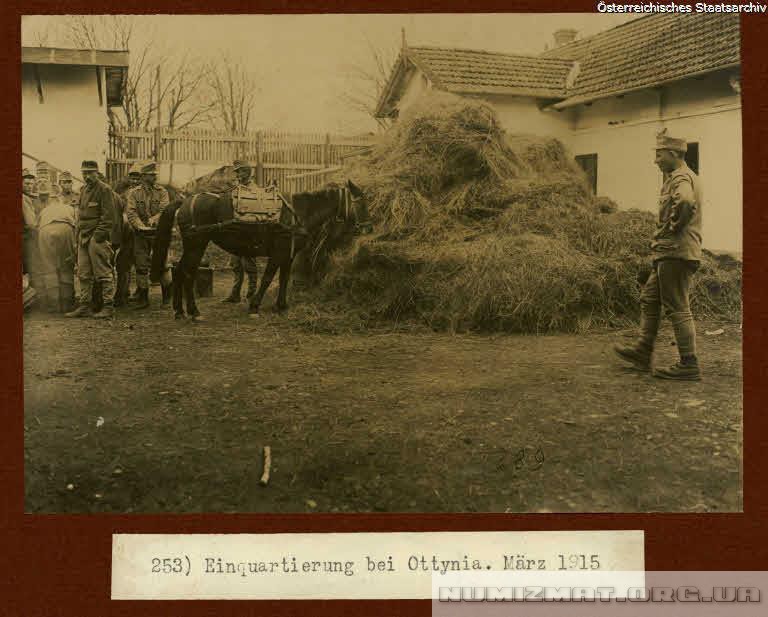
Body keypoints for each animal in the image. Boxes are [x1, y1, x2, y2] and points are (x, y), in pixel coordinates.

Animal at [150, 179, 368, 320]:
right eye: (362, 204)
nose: (368, 227)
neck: (298, 213)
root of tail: (185, 201)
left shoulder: (288, 255)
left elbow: (284, 278)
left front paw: (281, 306)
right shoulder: (278, 252)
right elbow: (268, 277)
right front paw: (254, 306)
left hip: (193, 245)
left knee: (181, 272)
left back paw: (180, 311)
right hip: (196, 243)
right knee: (187, 272)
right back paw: (193, 311)